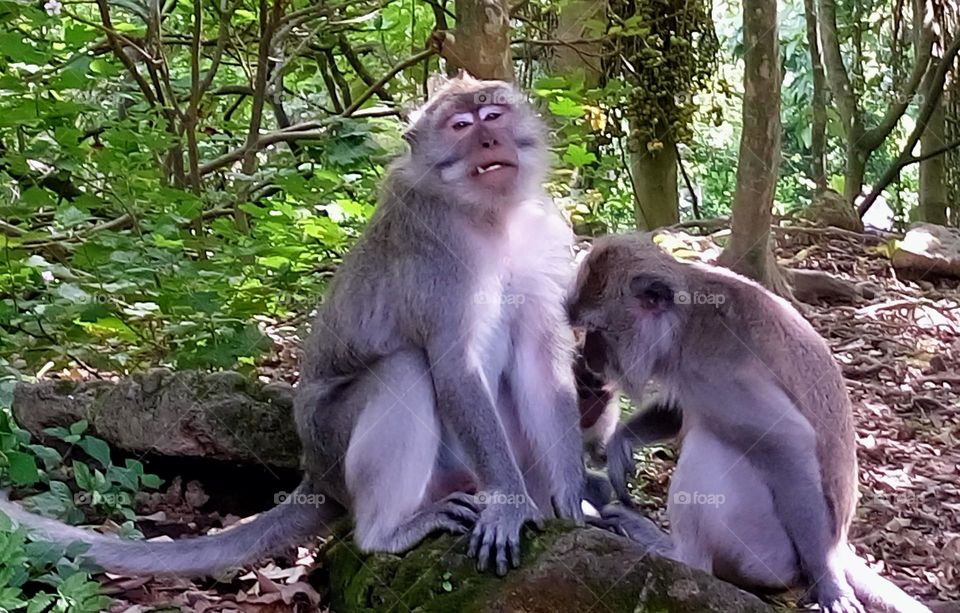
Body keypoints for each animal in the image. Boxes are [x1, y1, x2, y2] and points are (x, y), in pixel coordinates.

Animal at [0, 75, 586, 578]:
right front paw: (509, 503)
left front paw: (573, 503)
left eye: (494, 114)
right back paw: (388, 533)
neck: (491, 215)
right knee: (405, 370)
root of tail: (317, 478)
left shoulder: (543, 236)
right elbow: (453, 365)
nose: (489, 138)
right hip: (334, 443)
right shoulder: (437, 254)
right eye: (462, 126)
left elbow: (542, 359)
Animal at [566, 233, 930, 613]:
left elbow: (788, 443)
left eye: (597, 333)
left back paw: (677, 555)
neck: (686, 321)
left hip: (765, 551)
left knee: (711, 445)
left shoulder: (715, 371)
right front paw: (621, 441)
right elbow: (680, 410)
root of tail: (841, 542)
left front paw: (829, 581)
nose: (589, 358)